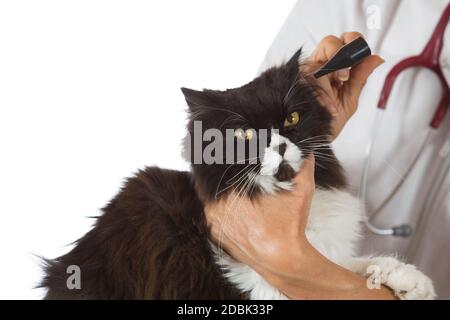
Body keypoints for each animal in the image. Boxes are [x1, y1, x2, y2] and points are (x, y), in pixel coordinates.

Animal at [41, 48, 436, 300]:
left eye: (291, 119)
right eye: (244, 136)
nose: (278, 146)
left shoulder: (324, 258)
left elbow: (361, 266)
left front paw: (411, 284)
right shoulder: (256, 284)